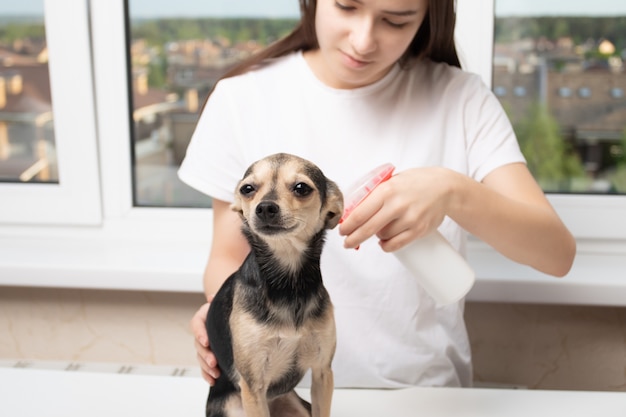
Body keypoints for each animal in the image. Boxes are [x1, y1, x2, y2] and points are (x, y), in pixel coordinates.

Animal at [204, 153, 342, 416]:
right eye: (247, 189)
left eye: (301, 188)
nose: (265, 207)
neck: (289, 282)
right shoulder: (253, 386)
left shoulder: (323, 372)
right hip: (233, 406)